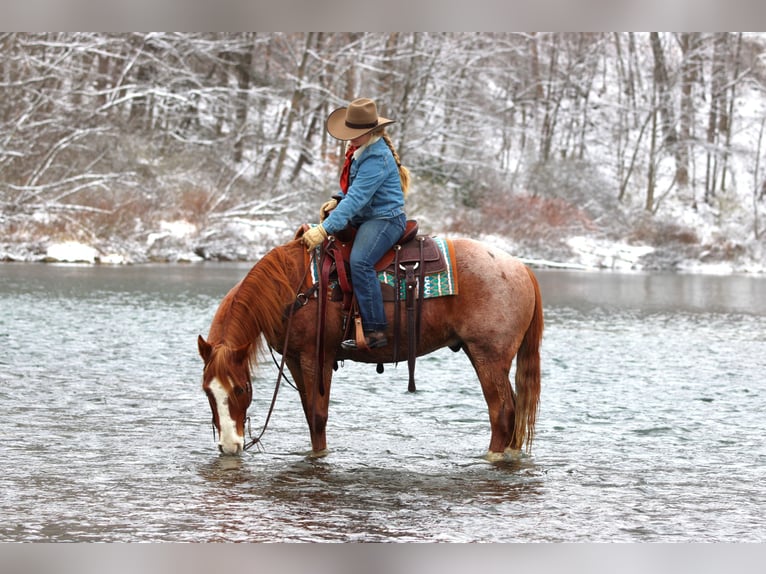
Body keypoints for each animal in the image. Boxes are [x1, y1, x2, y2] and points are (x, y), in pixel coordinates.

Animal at [197, 234, 543, 460]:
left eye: (241, 389)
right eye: (207, 392)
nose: (229, 446)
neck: (294, 286)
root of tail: (522, 268)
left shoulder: (316, 356)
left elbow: (318, 416)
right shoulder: (294, 358)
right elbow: (310, 416)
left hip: (488, 356)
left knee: (502, 412)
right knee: (513, 413)